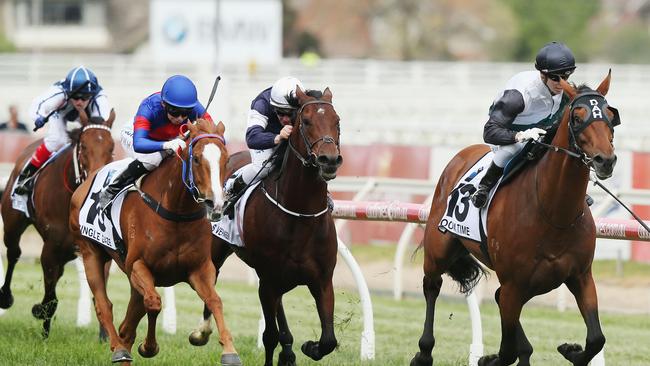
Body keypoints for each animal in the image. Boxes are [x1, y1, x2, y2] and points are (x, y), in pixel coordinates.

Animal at [0, 107, 115, 336]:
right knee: (13, 253)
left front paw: (105, 334)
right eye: (84, 146)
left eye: (112, 147)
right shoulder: (52, 246)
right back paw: (6, 297)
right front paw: (41, 320)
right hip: (12, 222)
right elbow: (50, 300)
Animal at [69, 118, 240, 364]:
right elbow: (154, 303)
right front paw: (148, 347)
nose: (214, 203)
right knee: (104, 305)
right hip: (90, 251)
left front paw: (229, 351)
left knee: (128, 324)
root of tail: (90, 176)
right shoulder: (137, 265)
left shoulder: (200, 268)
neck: (176, 212)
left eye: (226, 159)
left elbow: (215, 300)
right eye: (196, 158)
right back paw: (119, 349)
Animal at [187, 87, 342, 364]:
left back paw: (289, 349)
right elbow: (269, 336)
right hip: (217, 252)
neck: (301, 215)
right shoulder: (267, 281)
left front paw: (309, 347)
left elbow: (328, 340)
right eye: (305, 121)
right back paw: (202, 331)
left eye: (337, 121)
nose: (329, 160)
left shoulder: (323, 281)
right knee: (211, 279)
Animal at [410, 72, 616, 366]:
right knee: (431, 287)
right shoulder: (513, 283)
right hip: (439, 251)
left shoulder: (580, 276)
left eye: (610, 115)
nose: (605, 160)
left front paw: (571, 350)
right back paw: (424, 353)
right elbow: (506, 351)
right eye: (577, 117)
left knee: (497, 299)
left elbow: (596, 338)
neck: (554, 212)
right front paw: (487, 358)